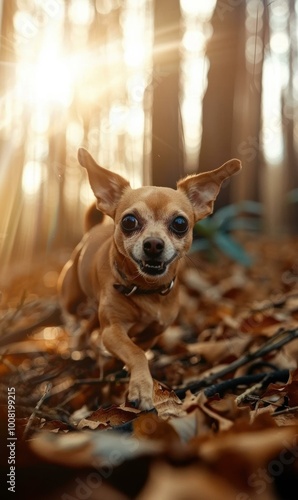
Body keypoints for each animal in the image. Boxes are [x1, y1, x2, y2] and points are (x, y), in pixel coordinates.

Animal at [58, 149, 242, 410]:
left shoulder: (152, 332)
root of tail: (89, 233)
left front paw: (120, 368)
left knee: (89, 325)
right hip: (72, 296)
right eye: (129, 221)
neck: (146, 290)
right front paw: (141, 389)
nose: (153, 244)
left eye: (180, 223)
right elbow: (135, 352)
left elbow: (137, 349)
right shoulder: (112, 330)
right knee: (72, 314)